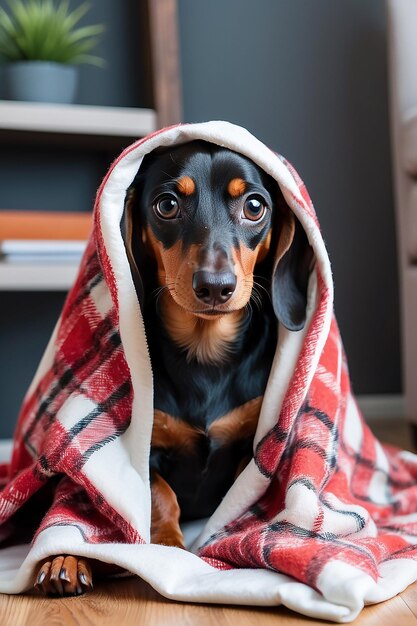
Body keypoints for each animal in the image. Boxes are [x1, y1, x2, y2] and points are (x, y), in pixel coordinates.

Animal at [33, 139, 312, 592]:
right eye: (167, 205)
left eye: (255, 206)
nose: (215, 286)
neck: (204, 353)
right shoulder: (144, 448)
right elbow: (161, 495)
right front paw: (167, 547)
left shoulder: (252, 451)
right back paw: (65, 558)